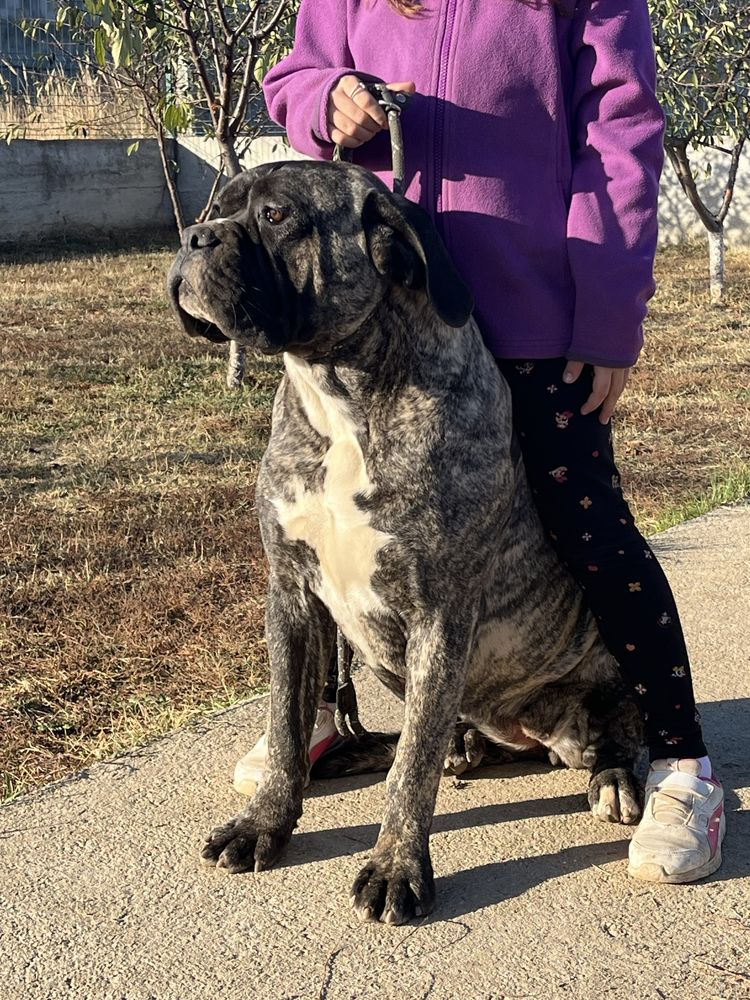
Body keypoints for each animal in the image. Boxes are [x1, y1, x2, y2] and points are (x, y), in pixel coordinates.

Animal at [167, 160, 644, 924]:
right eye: (217, 208)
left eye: (276, 216)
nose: (193, 237)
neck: (341, 393)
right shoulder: (291, 594)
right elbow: (289, 721)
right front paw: (266, 823)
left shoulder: (439, 614)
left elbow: (411, 765)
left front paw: (396, 866)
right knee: (436, 734)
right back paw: (441, 748)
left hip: (592, 673)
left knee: (621, 726)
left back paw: (617, 778)